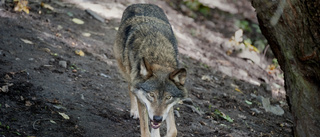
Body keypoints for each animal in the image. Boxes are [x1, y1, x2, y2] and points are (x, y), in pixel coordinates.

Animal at [113, 3, 188, 137]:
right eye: (151, 95)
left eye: (168, 97)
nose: (158, 118)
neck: (158, 56)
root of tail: (142, 3)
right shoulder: (142, 99)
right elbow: (145, 130)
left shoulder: (168, 108)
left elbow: (173, 130)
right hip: (126, 70)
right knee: (130, 88)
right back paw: (134, 111)